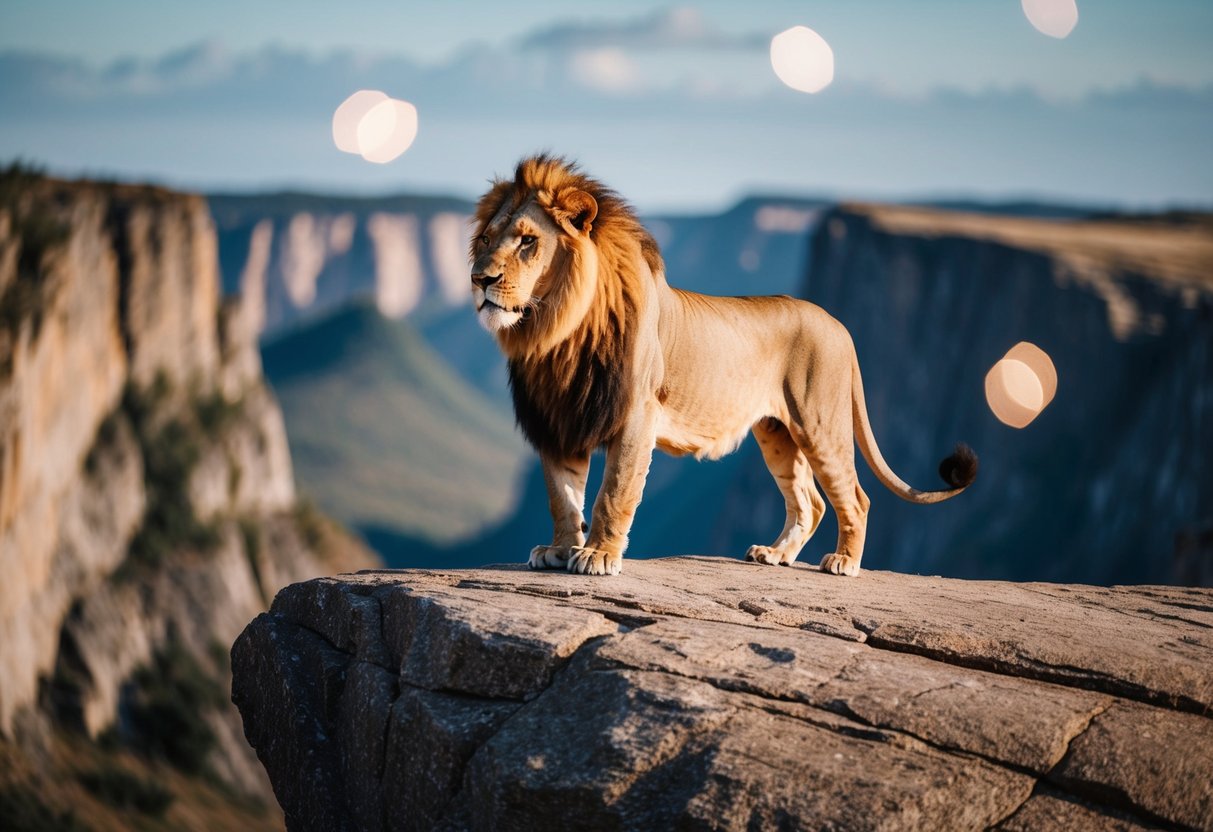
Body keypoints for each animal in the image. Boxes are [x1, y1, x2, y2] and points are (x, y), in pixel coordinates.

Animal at [468, 154, 980, 579]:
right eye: (488, 239)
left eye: (529, 241)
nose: (479, 278)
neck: (556, 332)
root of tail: (839, 325)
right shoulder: (558, 420)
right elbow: (562, 497)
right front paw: (558, 550)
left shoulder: (635, 416)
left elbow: (613, 491)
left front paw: (597, 555)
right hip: (778, 433)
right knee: (810, 502)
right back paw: (775, 554)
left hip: (820, 423)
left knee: (855, 497)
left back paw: (844, 562)